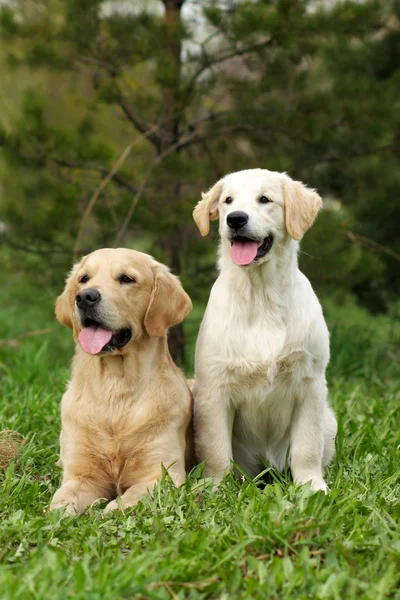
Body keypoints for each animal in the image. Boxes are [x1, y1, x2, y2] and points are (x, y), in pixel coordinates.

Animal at [49, 248, 193, 516]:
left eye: (127, 279)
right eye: (84, 279)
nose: (85, 297)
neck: (115, 387)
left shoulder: (162, 474)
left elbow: (133, 495)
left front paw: (113, 509)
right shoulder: (82, 475)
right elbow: (62, 500)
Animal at [192, 166, 336, 490]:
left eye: (265, 199)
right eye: (228, 201)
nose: (236, 219)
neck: (261, 296)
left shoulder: (310, 384)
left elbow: (307, 447)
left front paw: (313, 487)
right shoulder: (213, 389)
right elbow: (216, 449)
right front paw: (215, 488)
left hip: (329, 420)